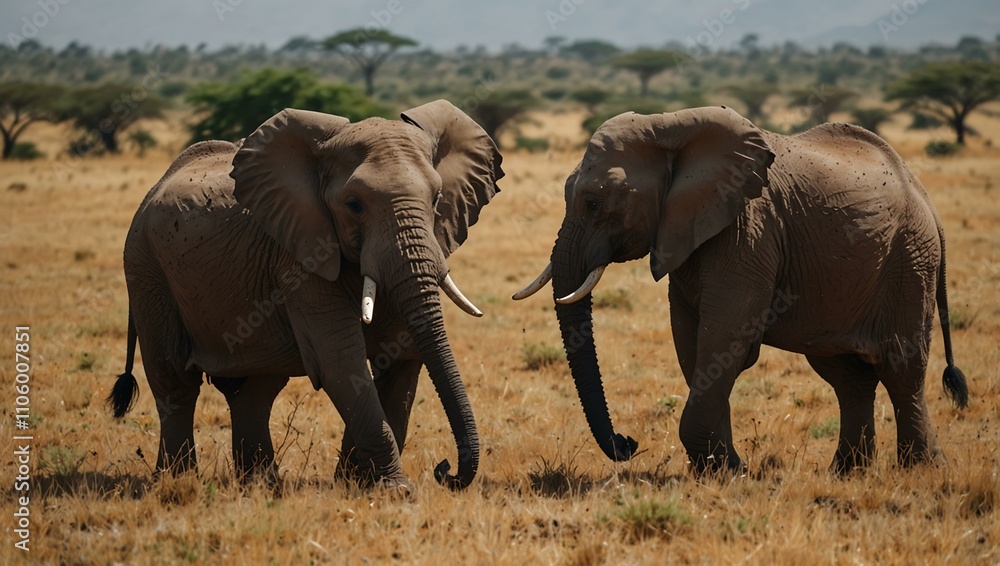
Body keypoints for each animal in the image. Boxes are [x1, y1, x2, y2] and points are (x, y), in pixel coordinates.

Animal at [107, 100, 503, 490]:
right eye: (354, 205)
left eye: (437, 198)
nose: (445, 470)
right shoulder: (300, 258)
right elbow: (340, 362)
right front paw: (394, 489)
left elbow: (401, 358)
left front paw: (357, 484)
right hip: (146, 268)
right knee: (175, 381)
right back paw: (177, 480)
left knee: (255, 389)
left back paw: (262, 485)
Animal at [515, 106, 968, 474]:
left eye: (593, 202)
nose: (628, 443)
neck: (669, 126)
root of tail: (924, 194)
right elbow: (692, 344)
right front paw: (725, 469)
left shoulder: (748, 228)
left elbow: (725, 336)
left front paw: (723, 470)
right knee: (847, 376)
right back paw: (847, 474)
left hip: (911, 260)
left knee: (902, 366)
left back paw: (921, 470)